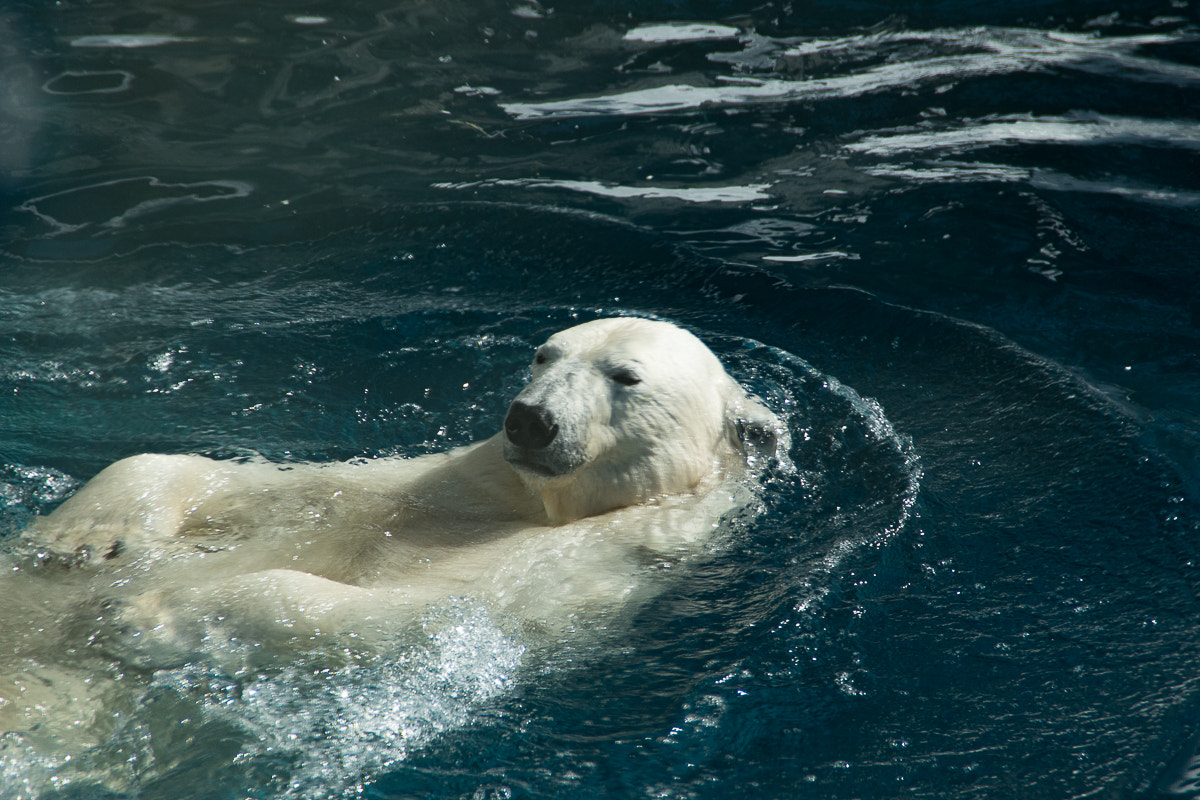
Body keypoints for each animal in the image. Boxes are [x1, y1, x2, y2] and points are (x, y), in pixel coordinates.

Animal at [1, 317, 785, 753]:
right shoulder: (432, 485)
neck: (545, 508)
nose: (530, 419)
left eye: (625, 376)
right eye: (544, 354)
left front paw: (143, 612)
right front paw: (83, 536)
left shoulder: (577, 569)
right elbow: (262, 486)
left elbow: (407, 624)